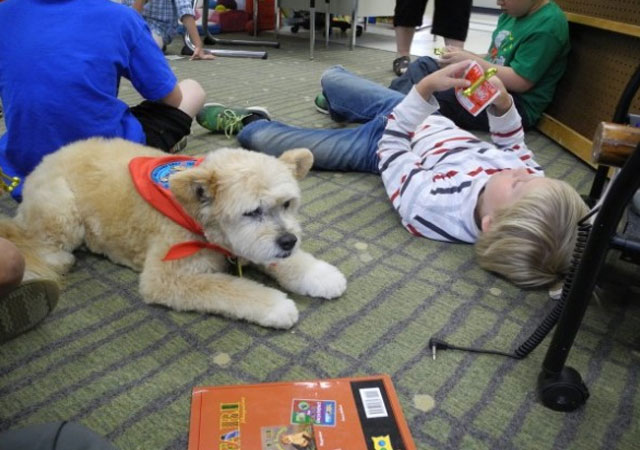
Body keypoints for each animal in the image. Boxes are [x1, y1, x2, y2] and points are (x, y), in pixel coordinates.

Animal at [2, 137, 348, 326]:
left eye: (287, 204)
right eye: (252, 212)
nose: (289, 241)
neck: (196, 219)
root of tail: (43, 162)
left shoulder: (250, 247)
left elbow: (286, 262)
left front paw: (318, 273)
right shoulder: (165, 279)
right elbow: (227, 288)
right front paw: (274, 305)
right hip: (62, 212)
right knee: (30, 237)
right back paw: (57, 259)